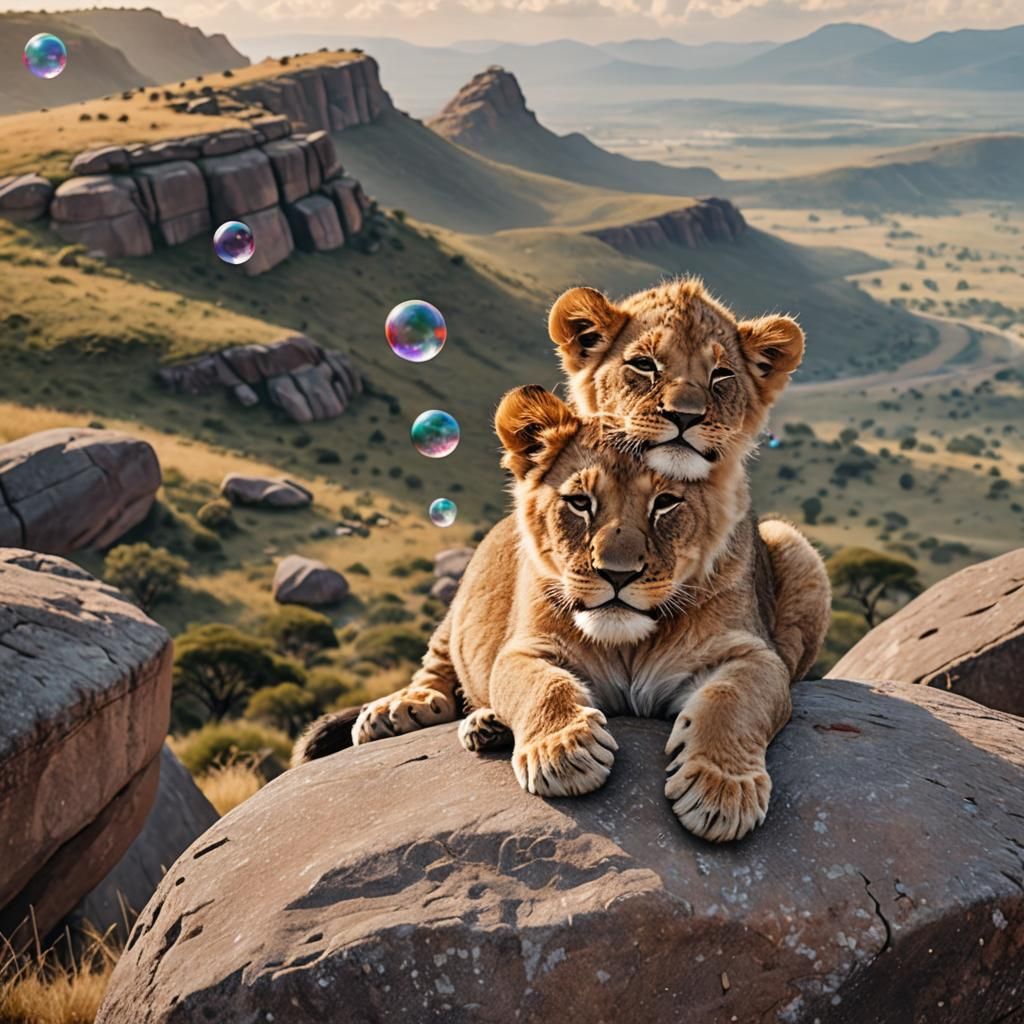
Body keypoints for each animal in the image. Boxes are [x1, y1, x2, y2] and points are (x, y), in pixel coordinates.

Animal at [295, 385, 829, 843]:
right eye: (579, 502)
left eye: (665, 503)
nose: (617, 574)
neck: (630, 642)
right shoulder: (524, 650)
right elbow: (544, 686)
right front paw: (563, 751)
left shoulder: (755, 656)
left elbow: (730, 702)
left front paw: (721, 789)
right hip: (461, 603)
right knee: (438, 673)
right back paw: (402, 710)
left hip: (792, 542)